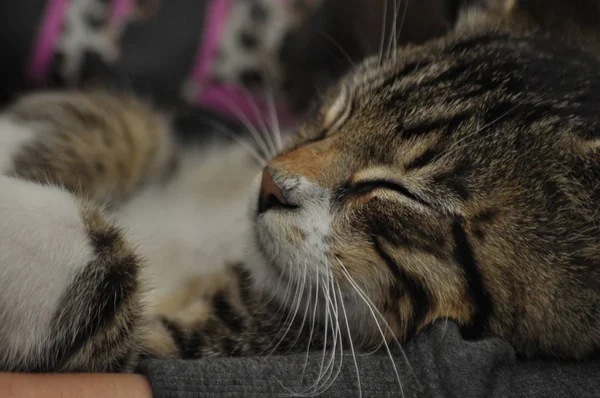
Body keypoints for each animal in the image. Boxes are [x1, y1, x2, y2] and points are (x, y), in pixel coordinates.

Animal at [1, 0, 600, 374]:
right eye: (341, 107)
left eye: (400, 192)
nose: (270, 183)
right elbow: (135, 128)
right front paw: (14, 137)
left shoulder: (178, 343)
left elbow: (115, 284)